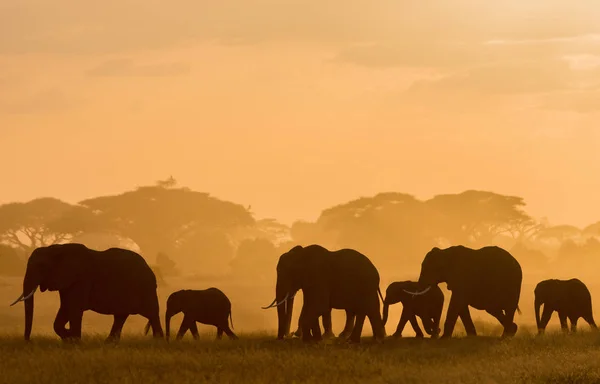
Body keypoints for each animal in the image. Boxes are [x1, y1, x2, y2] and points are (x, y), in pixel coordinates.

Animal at [9, 243, 164, 342]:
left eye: (41, 266)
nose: (28, 341)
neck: (57, 248)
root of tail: (150, 269)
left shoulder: (81, 279)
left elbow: (74, 308)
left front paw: (75, 340)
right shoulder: (67, 281)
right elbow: (65, 308)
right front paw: (69, 338)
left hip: (145, 288)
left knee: (151, 313)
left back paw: (158, 341)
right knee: (120, 316)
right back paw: (109, 343)